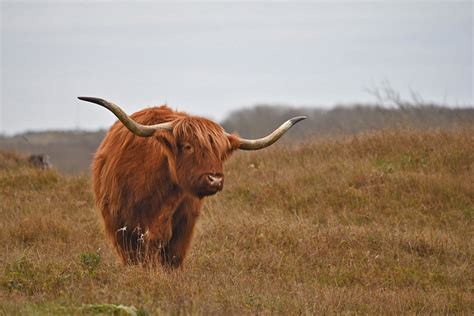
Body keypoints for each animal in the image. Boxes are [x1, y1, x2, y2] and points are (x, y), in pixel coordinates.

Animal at [79, 95, 306, 266]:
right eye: (188, 146)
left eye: (220, 152)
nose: (215, 179)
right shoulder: (120, 228)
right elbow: (136, 260)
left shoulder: (182, 228)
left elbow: (171, 258)